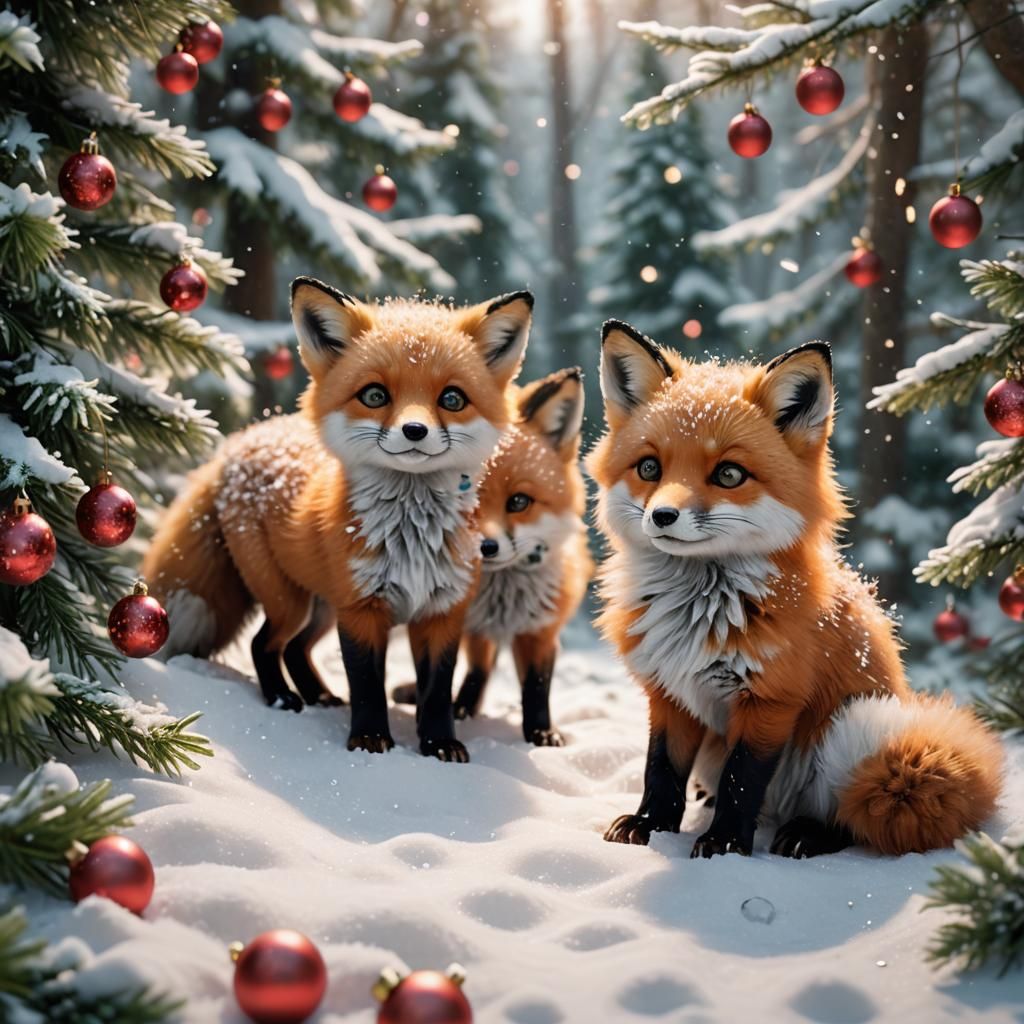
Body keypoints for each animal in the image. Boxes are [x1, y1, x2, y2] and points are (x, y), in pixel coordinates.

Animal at [142, 277, 534, 763]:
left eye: (452, 399)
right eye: (374, 395)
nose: (415, 431)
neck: (411, 542)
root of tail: (240, 441)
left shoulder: (442, 611)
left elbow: (436, 691)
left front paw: (439, 744)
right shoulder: (361, 609)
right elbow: (367, 683)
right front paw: (369, 742)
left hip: (322, 606)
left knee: (294, 650)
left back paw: (319, 696)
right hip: (291, 600)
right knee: (264, 644)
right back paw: (282, 698)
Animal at [393, 367, 592, 745]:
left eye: (519, 502)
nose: (486, 547)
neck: (500, 599)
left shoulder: (540, 628)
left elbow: (536, 686)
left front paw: (541, 733)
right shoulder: (461, 623)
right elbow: (462, 672)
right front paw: (451, 713)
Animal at [590, 320, 1003, 858]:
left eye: (728, 474)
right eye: (648, 468)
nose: (662, 515)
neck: (700, 612)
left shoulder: (771, 700)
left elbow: (742, 782)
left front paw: (724, 843)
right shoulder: (670, 691)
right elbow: (661, 769)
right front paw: (650, 826)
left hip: (855, 727)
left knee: (859, 813)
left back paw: (808, 833)